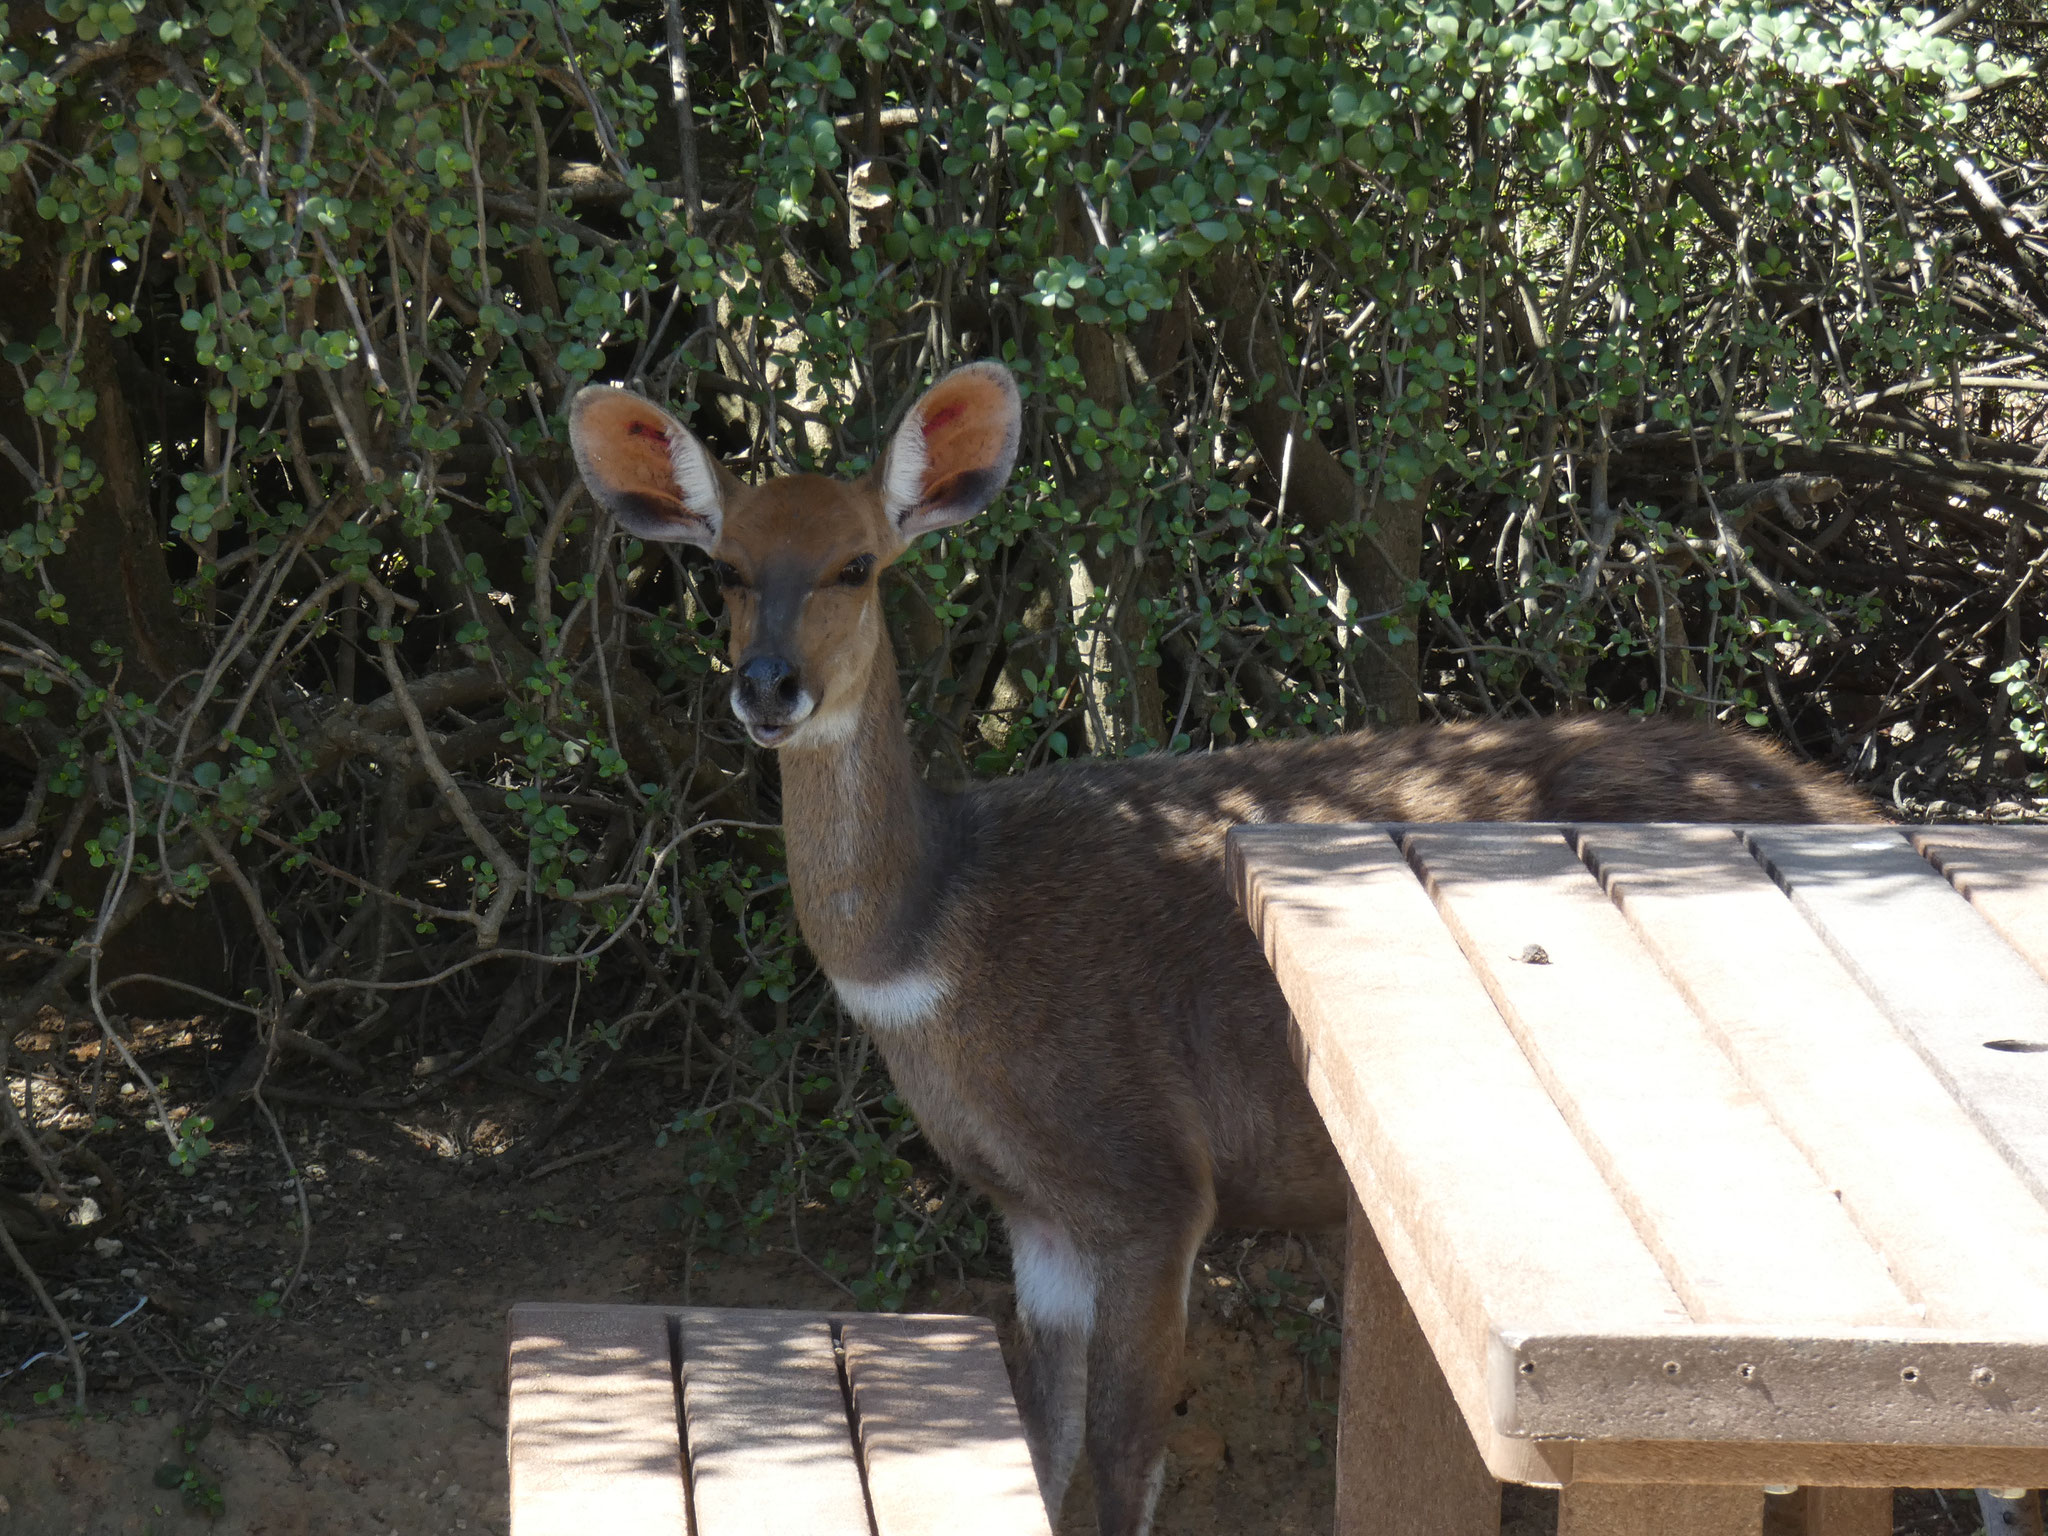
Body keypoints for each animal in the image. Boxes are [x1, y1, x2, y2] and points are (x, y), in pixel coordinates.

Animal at [569, 364, 1875, 1536]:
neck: (933, 944)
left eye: (856, 564)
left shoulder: (1150, 1184)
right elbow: (1040, 1447)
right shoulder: (1036, 1217)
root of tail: (1840, 801)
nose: (768, 688)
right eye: (725, 569)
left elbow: (1123, 1460)